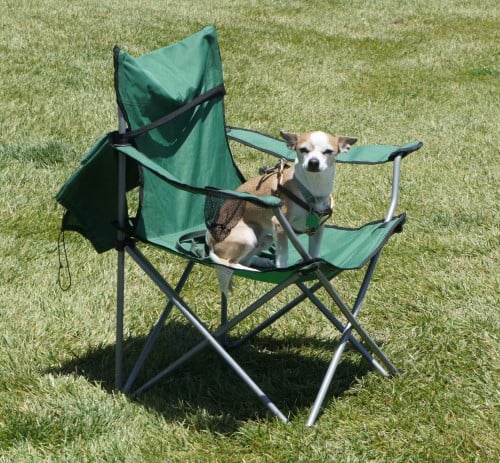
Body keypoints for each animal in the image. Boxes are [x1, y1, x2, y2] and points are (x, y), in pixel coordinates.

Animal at [205, 130, 358, 294]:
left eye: (328, 151)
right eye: (303, 150)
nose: (313, 162)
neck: (311, 189)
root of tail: (210, 242)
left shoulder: (317, 227)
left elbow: (314, 250)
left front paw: (311, 261)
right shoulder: (279, 225)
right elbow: (283, 254)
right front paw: (282, 269)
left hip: (266, 238)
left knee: (243, 259)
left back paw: (262, 261)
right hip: (248, 236)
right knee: (228, 262)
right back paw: (254, 270)